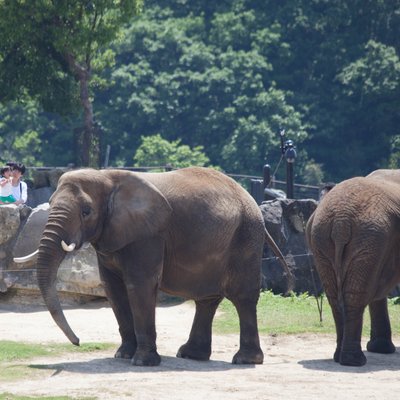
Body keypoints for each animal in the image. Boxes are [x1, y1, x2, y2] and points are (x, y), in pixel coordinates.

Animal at [14, 167, 292, 368]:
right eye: (50, 202)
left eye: (86, 211)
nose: (78, 342)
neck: (107, 176)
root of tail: (252, 201)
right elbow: (113, 289)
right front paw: (122, 356)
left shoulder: (148, 234)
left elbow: (140, 285)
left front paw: (141, 362)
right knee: (207, 299)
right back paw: (191, 355)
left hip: (246, 237)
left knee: (242, 297)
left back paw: (244, 360)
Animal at [306, 169, 400, 366]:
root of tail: (341, 222)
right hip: (369, 238)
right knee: (355, 296)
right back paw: (354, 361)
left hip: (323, 240)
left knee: (336, 297)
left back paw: (341, 357)